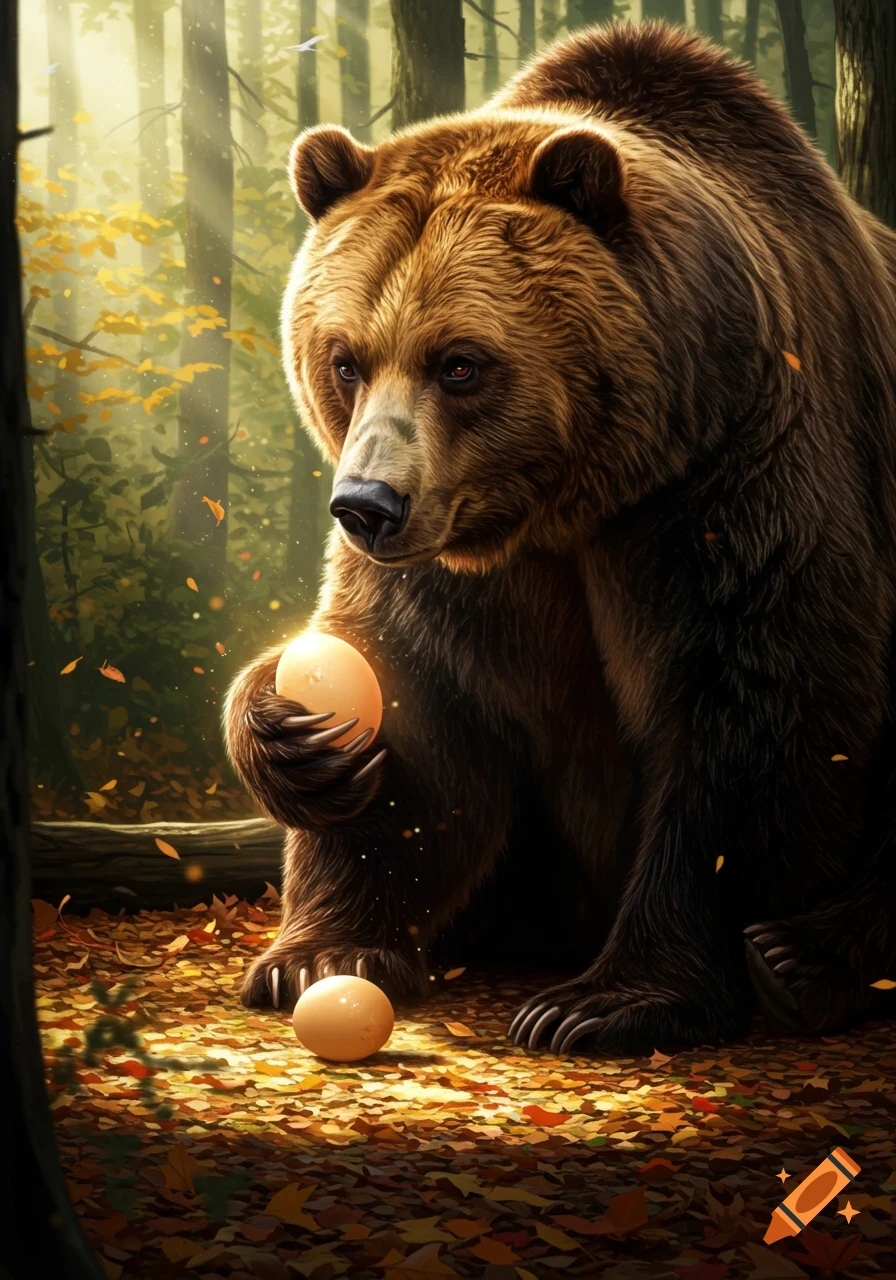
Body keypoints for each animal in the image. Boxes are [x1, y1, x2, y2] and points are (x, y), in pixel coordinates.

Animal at [224, 19, 896, 1055]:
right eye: (343, 358)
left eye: (460, 362)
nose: (367, 505)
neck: (573, 499)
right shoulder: (468, 565)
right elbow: (418, 703)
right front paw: (319, 941)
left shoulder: (731, 470)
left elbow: (755, 707)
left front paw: (604, 1001)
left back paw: (802, 960)